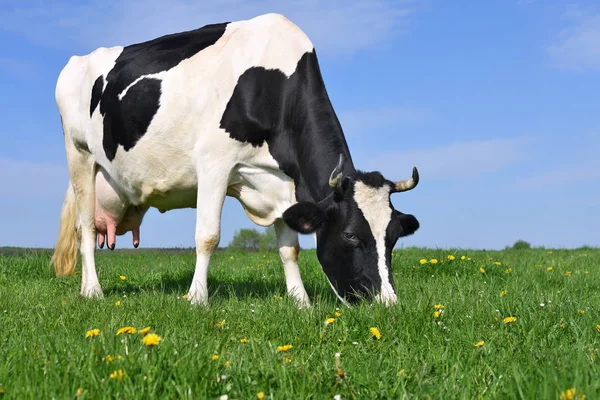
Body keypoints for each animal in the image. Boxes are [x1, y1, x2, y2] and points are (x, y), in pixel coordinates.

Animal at [49, 11, 420, 306]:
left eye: (393, 237)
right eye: (350, 235)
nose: (388, 303)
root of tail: (76, 61)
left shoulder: (282, 183)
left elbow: (290, 246)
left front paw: (300, 301)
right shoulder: (214, 162)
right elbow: (208, 235)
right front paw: (197, 298)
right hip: (79, 155)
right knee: (84, 228)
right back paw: (93, 291)